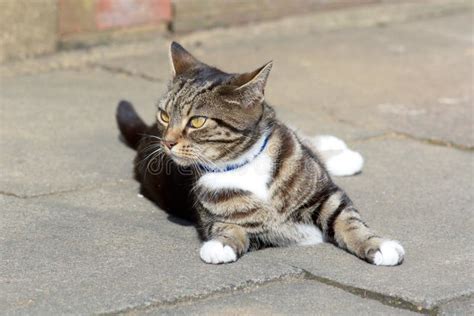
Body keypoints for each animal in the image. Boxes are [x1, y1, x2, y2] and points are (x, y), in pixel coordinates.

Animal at [116, 40, 406, 266]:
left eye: (197, 121)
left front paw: (379, 245)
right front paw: (220, 244)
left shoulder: (326, 195)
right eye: (165, 115)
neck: (243, 164)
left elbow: (349, 221)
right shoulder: (225, 222)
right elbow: (228, 227)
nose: (167, 142)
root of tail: (147, 133)